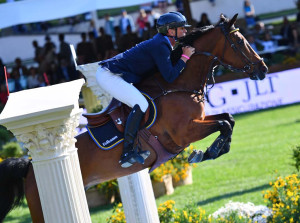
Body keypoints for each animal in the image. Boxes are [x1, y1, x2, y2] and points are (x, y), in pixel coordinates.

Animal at [0, 13, 268, 221]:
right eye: (239, 41)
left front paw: (212, 150)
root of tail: (29, 167)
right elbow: (223, 123)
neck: (178, 85)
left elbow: (229, 119)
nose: (263, 69)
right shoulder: (184, 132)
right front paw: (206, 152)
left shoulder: (198, 122)